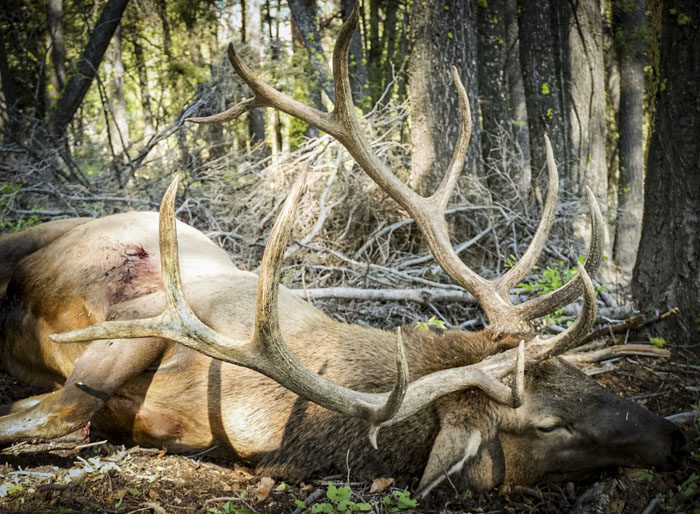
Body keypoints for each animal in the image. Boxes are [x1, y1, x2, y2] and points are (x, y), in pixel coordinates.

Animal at [0, 6, 686, 497]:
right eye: (547, 425)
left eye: (578, 375)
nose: (675, 437)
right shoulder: (147, 316)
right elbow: (56, 411)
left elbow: (62, 413)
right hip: (36, 235)